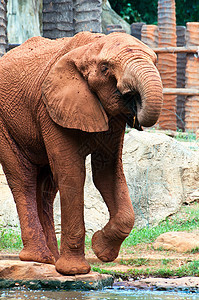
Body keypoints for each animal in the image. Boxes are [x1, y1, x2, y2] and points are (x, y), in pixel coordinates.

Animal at [0, 31, 162, 276]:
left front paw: (100, 249)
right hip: (4, 124)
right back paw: (38, 258)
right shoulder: (51, 108)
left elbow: (107, 173)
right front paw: (75, 271)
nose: (134, 103)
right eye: (105, 68)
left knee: (47, 187)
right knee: (23, 179)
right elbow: (72, 174)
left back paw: (50, 261)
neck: (91, 47)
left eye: (155, 61)